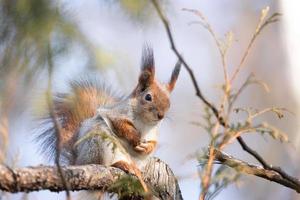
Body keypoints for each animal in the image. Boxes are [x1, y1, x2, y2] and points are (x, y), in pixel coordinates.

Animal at [35, 46, 180, 193]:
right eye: (148, 97)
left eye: (169, 102)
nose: (161, 115)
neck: (144, 121)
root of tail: (78, 161)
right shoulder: (116, 113)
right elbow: (119, 124)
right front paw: (133, 136)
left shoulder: (153, 132)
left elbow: (153, 143)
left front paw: (146, 147)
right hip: (98, 144)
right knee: (106, 162)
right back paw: (121, 164)